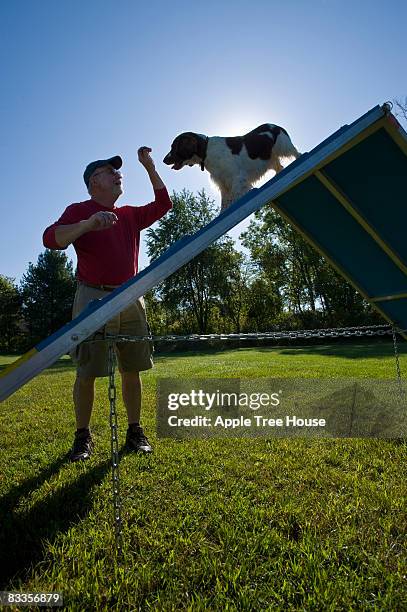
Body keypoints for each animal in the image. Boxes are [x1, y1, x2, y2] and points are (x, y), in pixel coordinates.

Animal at [164, 123, 302, 212]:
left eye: (174, 146)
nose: (164, 160)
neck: (206, 150)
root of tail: (275, 125)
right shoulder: (222, 183)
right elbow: (224, 203)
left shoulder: (237, 177)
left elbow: (235, 197)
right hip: (270, 158)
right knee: (279, 167)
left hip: (284, 146)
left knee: (296, 153)